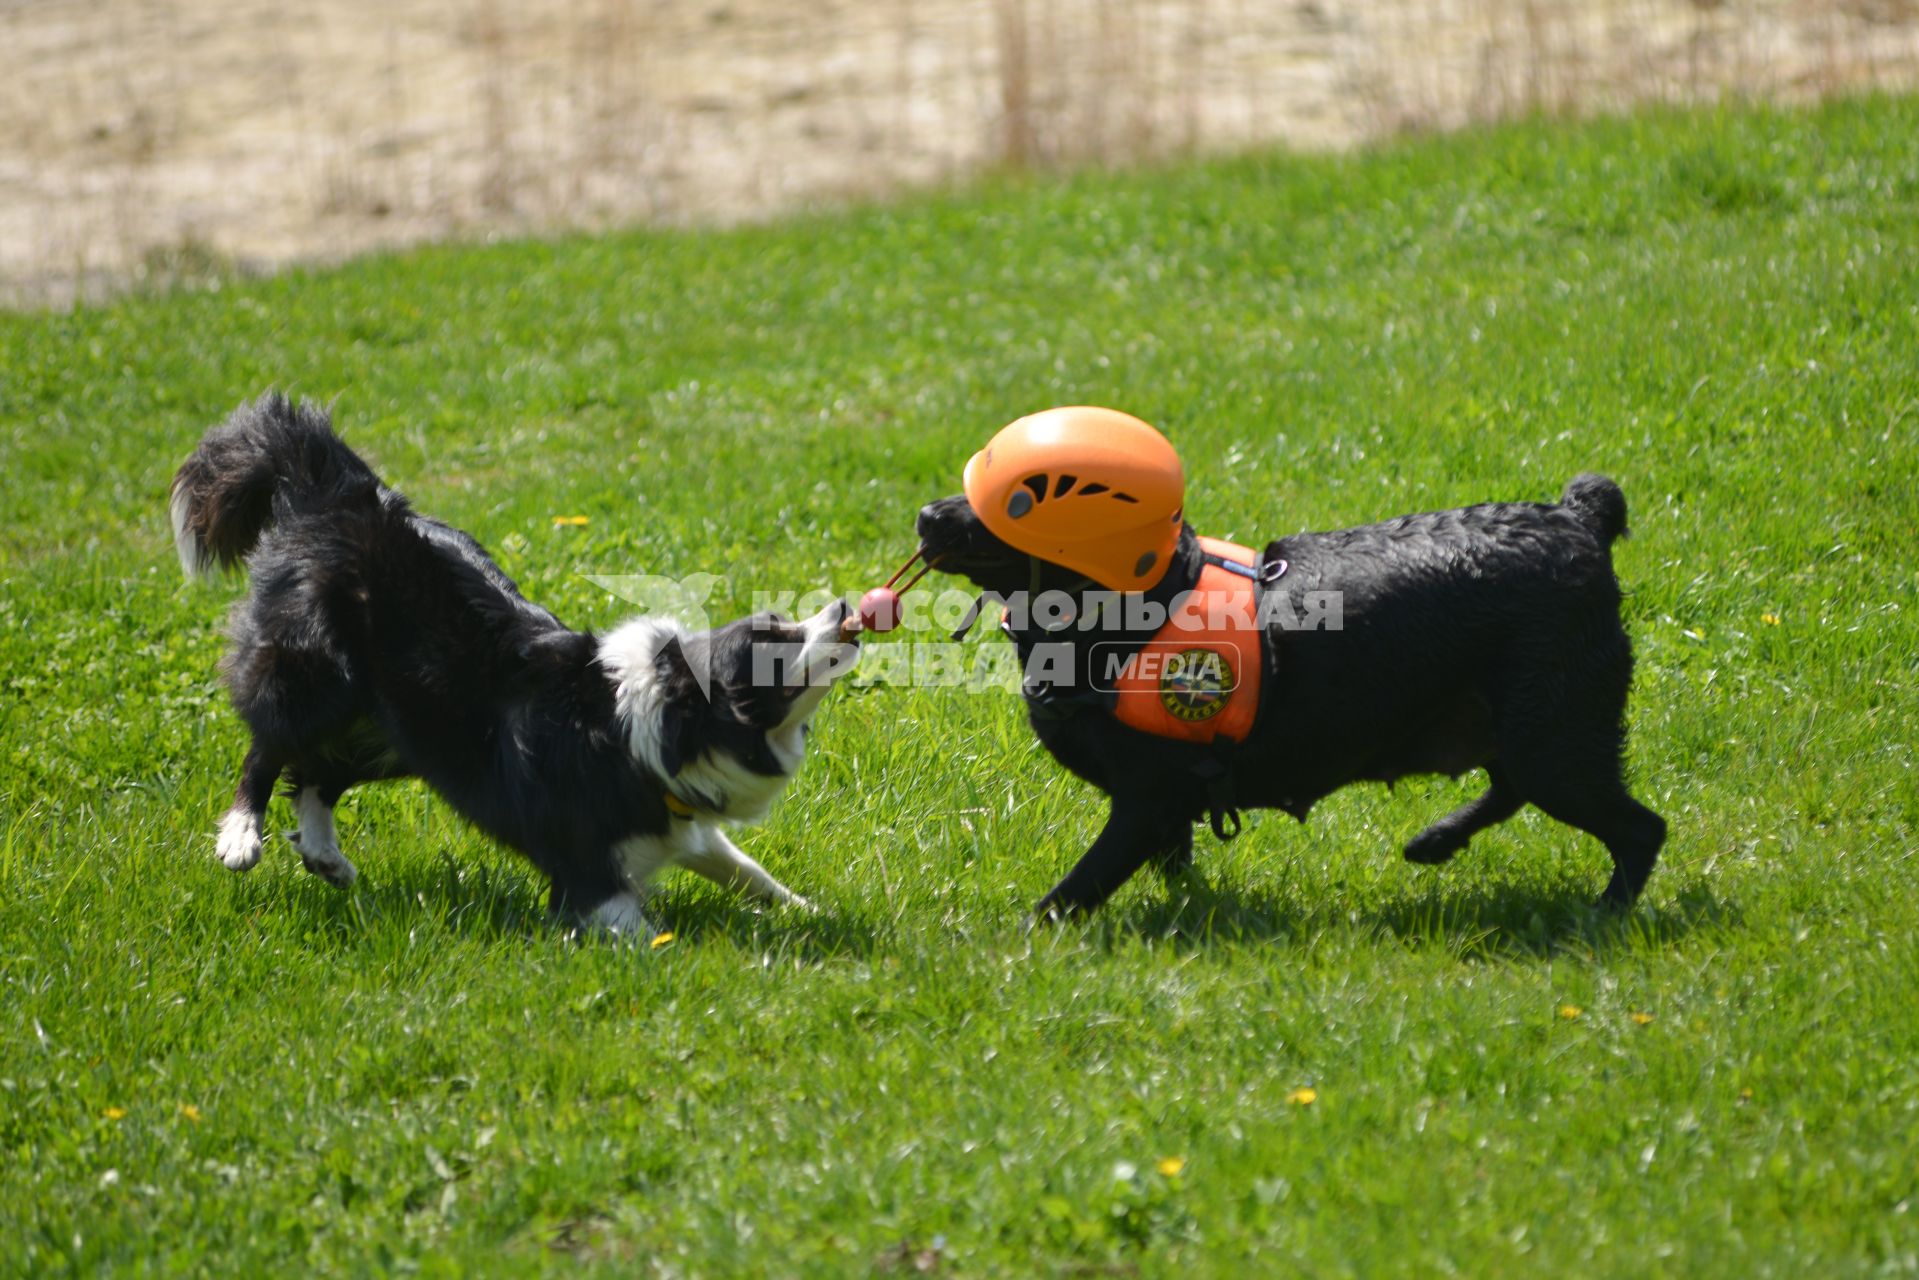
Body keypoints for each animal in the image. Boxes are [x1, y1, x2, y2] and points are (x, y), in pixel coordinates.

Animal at [172, 391, 863, 932]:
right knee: (270, 747)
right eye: (770, 643)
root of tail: (338, 492)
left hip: (410, 731)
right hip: (318, 677)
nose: (844, 607)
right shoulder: (587, 870)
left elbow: (747, 871)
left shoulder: (678, 825)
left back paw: (323, 855)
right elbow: (639, 929)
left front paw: (810, 914)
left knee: (317, 774)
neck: (655, 727)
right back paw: (240, 836)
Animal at [913, 475, 1665, 917]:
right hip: (1523, 730)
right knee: (1511, 790)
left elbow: (1075, 890)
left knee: (1639, 828)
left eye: (1013, 505)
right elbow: (1173, 865)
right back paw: (1435, 841)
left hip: (1555, 738)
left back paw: (1604, 914)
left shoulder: (1145, 798)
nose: (924, 515)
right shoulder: (1166, 810)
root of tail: (1575, 518)